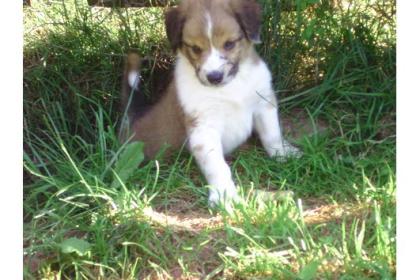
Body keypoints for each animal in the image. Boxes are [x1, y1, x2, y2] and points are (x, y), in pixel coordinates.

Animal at [121, 0, 302, 206]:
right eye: (195, 48)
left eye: (229, 44)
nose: (214, 77)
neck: (230, 87)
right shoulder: (203, 128)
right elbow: (217, 165)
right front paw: (224, 194)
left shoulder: (263, 103)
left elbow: (273, 135)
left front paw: (284, 154)